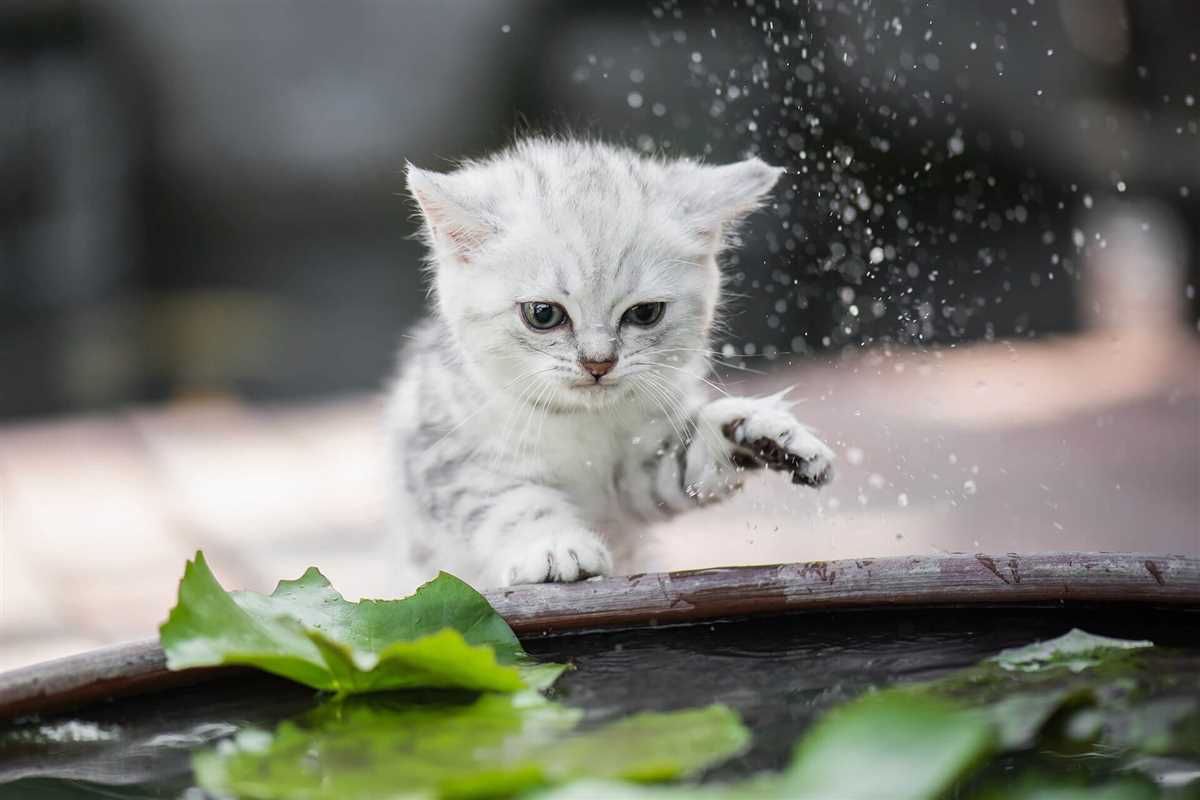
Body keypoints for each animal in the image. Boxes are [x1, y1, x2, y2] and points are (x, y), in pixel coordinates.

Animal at [386, 139, 835, 587]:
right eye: (543, 314)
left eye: (645, 313)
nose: (599, 363)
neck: (577, 419)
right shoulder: (444, 452)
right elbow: (508, 501)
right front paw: (554, 546)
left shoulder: (635, 475)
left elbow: (685, 463)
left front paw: (759, 432)